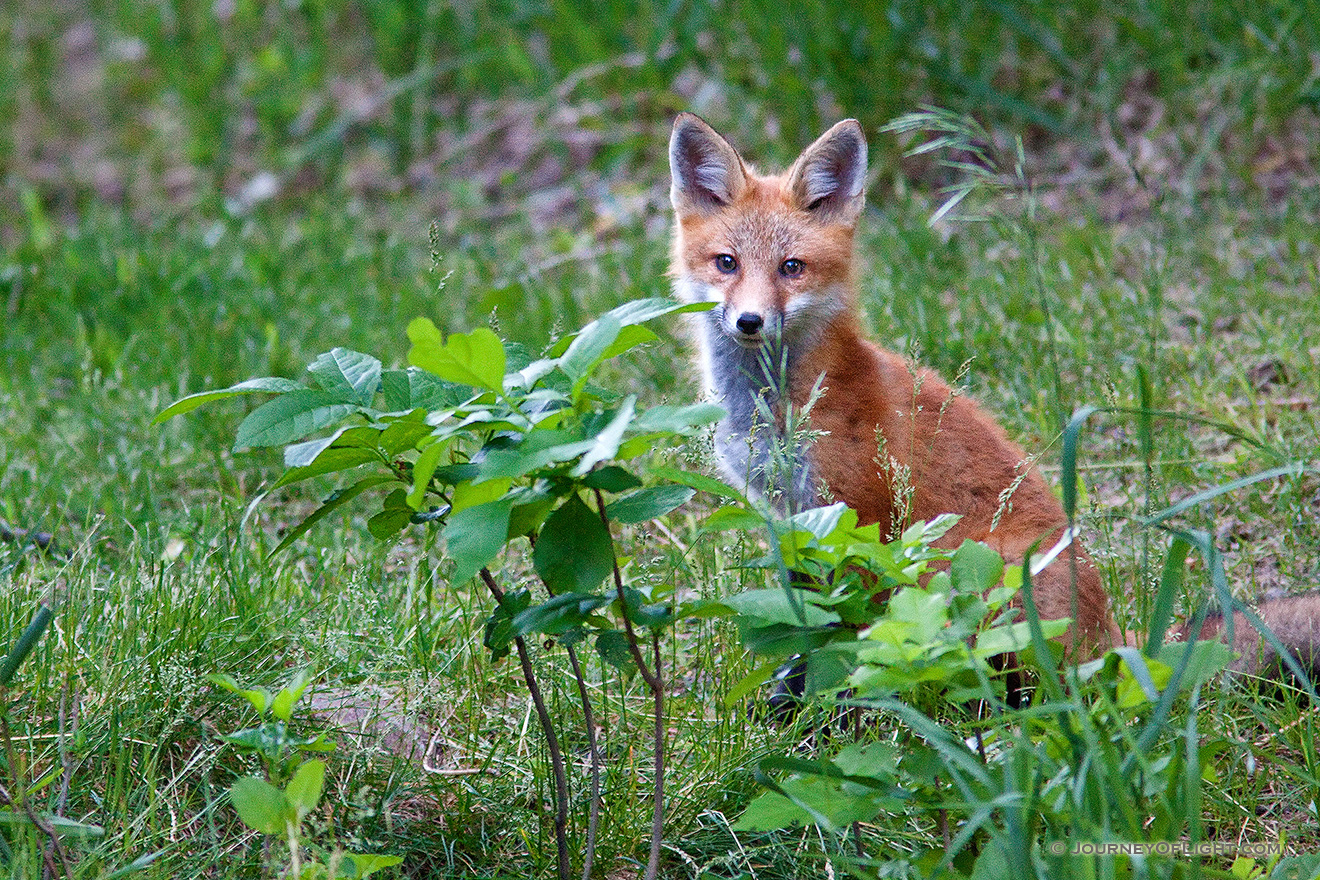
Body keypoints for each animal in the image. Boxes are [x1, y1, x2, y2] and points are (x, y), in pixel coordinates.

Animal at [670, 106, 1320, 680]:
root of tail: (1115, 638)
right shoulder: (785, 514)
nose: (749, 322)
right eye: (726, 263)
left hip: (979, 577)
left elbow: (857, 628)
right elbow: (811, 616)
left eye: (792, 267)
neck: (772, 405)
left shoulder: (861, 514)